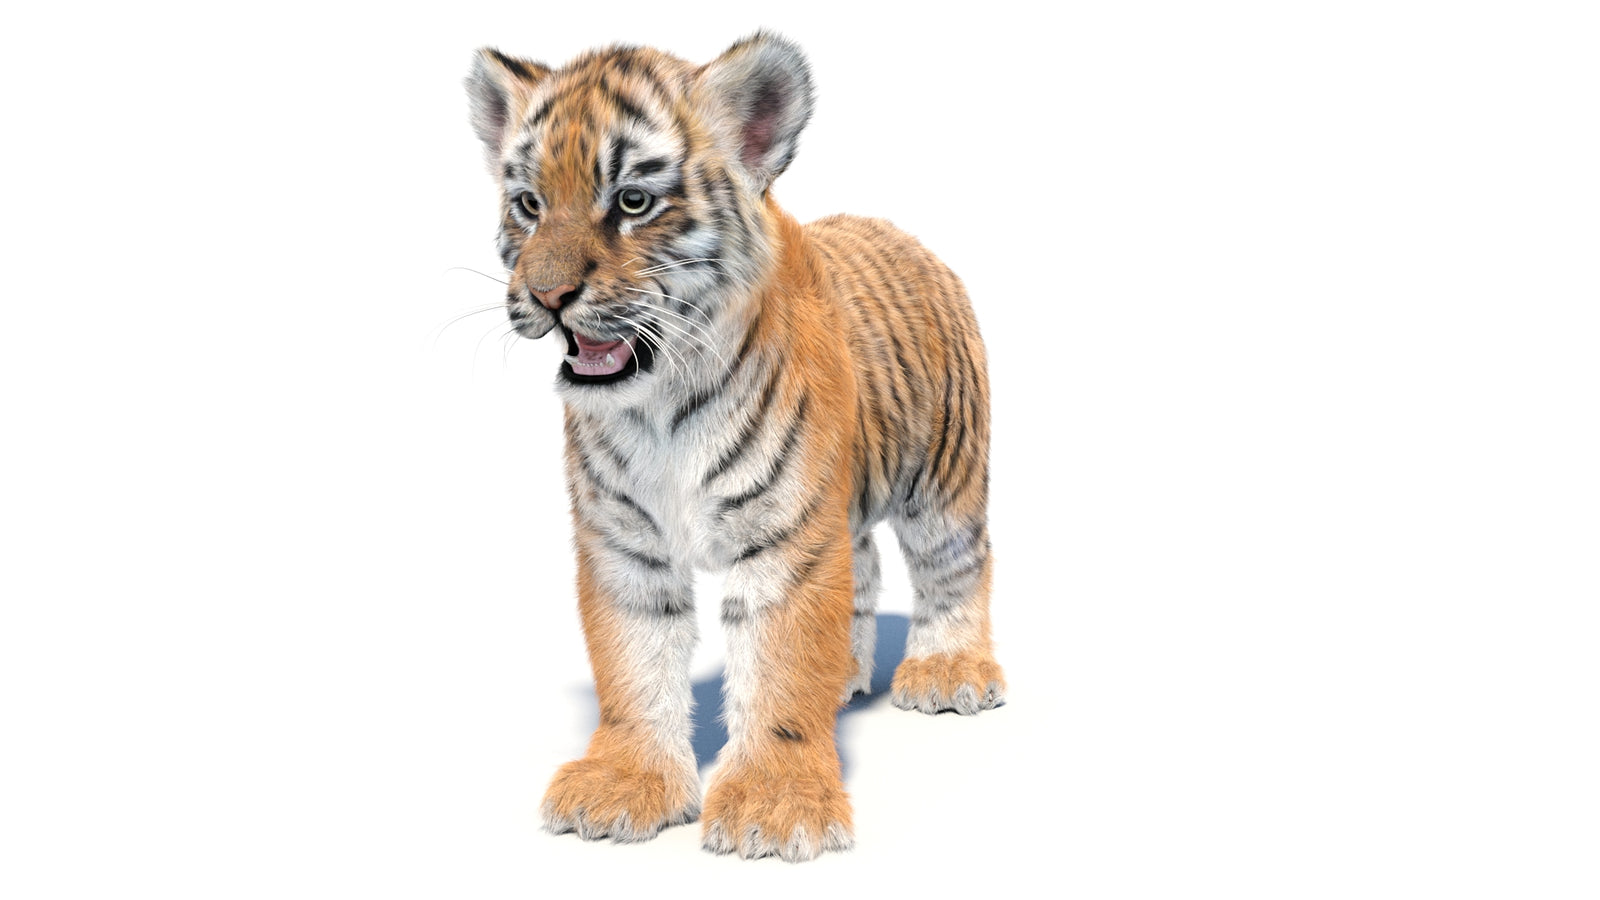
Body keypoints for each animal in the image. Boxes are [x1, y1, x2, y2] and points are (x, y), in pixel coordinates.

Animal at [465, 31, 1004, 862]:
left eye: (633, 201)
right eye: (529, 204)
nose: (548, 297)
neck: (659, 406)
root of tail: (898, 230)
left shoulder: (787, 539)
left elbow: (780, 664)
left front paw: (774, 808)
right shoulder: (624, 544)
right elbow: (633, 664)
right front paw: (624, 785)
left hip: (943, 476)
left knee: (957, 564)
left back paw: (949, 672)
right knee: (864, 567)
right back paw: (845, 677)